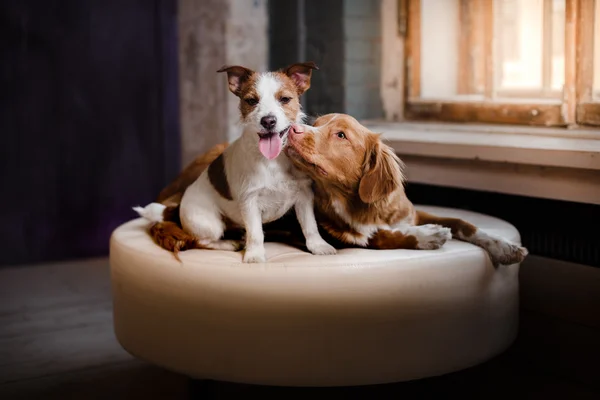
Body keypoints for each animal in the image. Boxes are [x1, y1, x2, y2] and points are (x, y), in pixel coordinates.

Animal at [133, 62, 336, 262]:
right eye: (251, 101)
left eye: (285, 99)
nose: (268, 121)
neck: (273, 161)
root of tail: (177, 208)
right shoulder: (250, 200)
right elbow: (256, 233)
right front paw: (254, 255)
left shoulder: (304, 196)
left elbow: (310, 226)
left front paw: (319, 246)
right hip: (209, 223)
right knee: (200, 241)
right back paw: (228, 244)